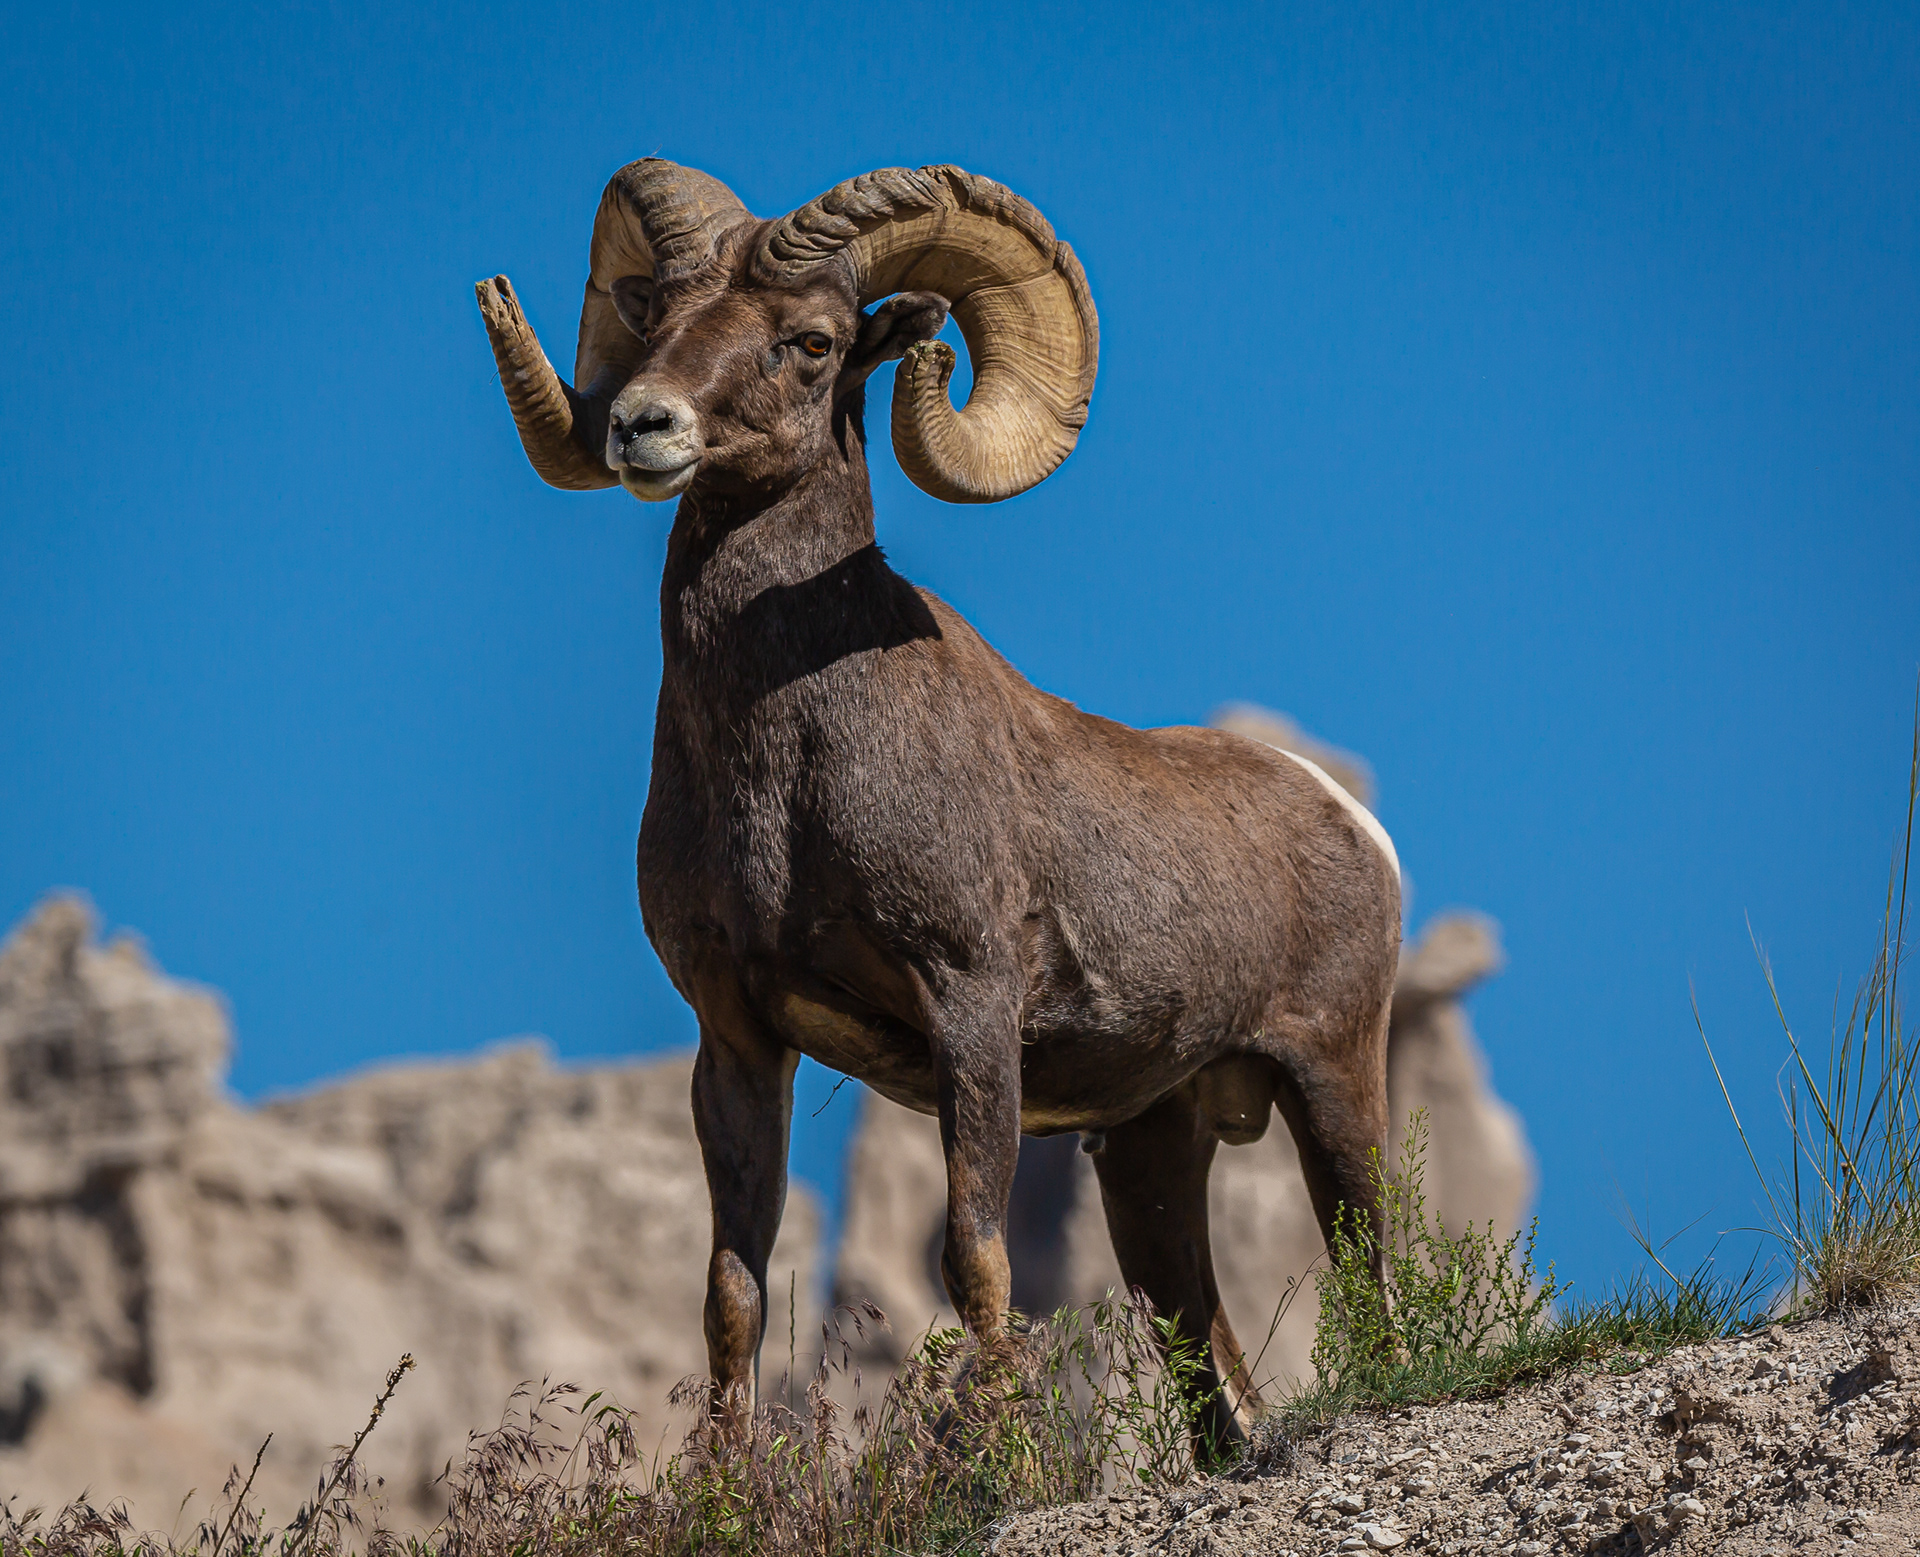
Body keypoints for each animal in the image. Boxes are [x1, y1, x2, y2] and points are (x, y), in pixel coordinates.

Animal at [475, 160, 1402, 1445]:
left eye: (812, 343)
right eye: (654, 318)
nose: (642, 426)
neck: (786, 765)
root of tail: (1351, 823)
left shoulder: (970, 1011)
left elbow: (975, 1259)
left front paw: (1004, 1451)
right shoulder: (738, 1037)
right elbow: (730, 1293)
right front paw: (721, 1477)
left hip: (1333, 1084)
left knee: (1376, 1276)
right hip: (1148, 1155)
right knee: (1205, 1360)